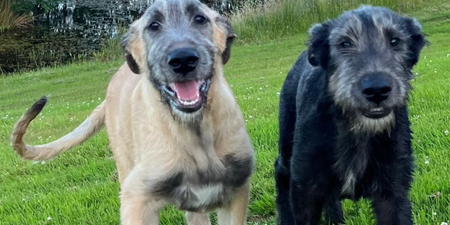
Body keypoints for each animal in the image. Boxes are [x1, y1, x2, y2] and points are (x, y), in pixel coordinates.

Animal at [10, 0, 255, 224]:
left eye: (200, 19)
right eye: (153, 25)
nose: (183, 60)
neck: (193, 131)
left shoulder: (235, 194)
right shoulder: (137, 198)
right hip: (124, 161)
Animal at [274, 5, 426, 225]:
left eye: (395, 41)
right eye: (345, 43)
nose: (377, 90)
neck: (356, 129)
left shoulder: (393, 191)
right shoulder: (305, 187)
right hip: (287, 140)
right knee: (280, 171)